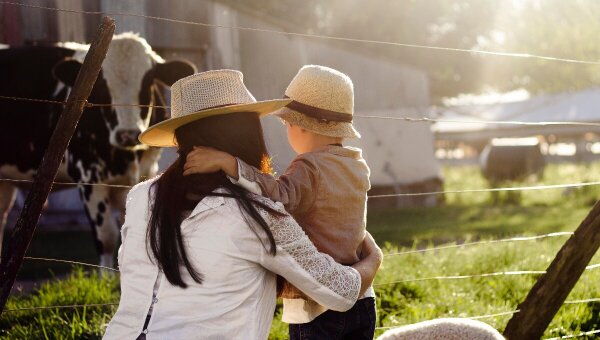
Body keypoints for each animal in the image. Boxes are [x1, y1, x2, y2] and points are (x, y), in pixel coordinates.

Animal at [0, 33, 196, 266]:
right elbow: (108, 237)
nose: (127, 134)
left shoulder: (145, 173)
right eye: (101, 86)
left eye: (148, 82)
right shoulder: (89, 178)